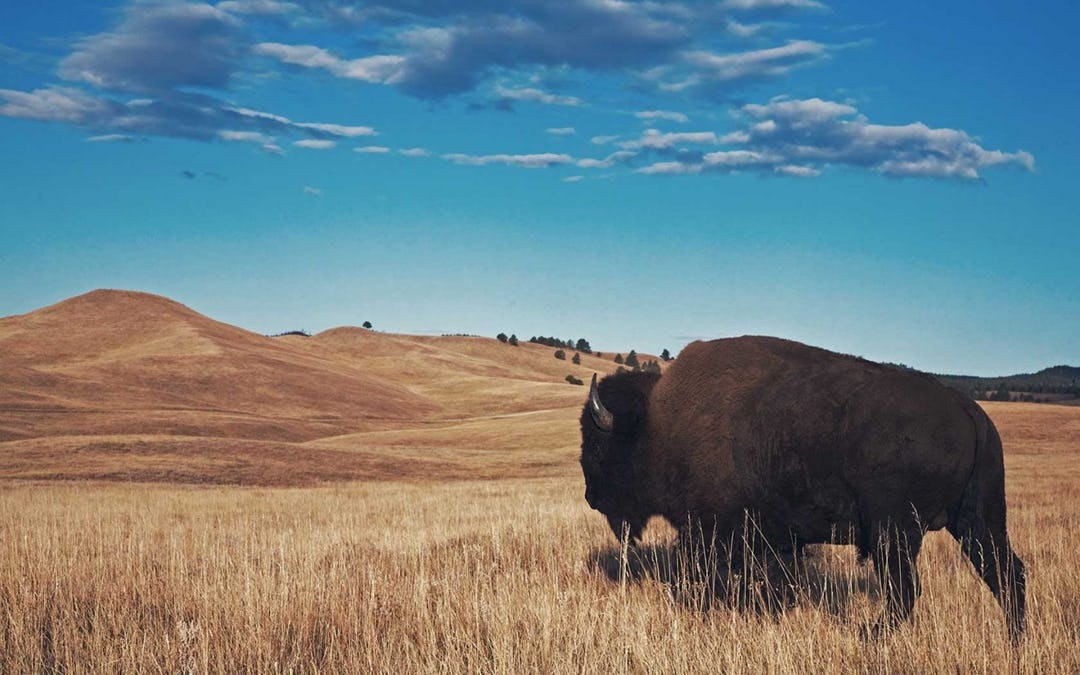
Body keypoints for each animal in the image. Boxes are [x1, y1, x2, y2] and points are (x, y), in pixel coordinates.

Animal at [580, 336, 1025, 637]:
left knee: (906, 589)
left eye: (599, 444)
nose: (590, 496)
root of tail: (966, 408)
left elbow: (708, 574)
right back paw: (1015, 640)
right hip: (978, 521)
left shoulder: (711, 531)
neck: (658, 425)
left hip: (894, 530)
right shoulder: (774, 538)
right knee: (1006, 573)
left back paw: (868, 635)